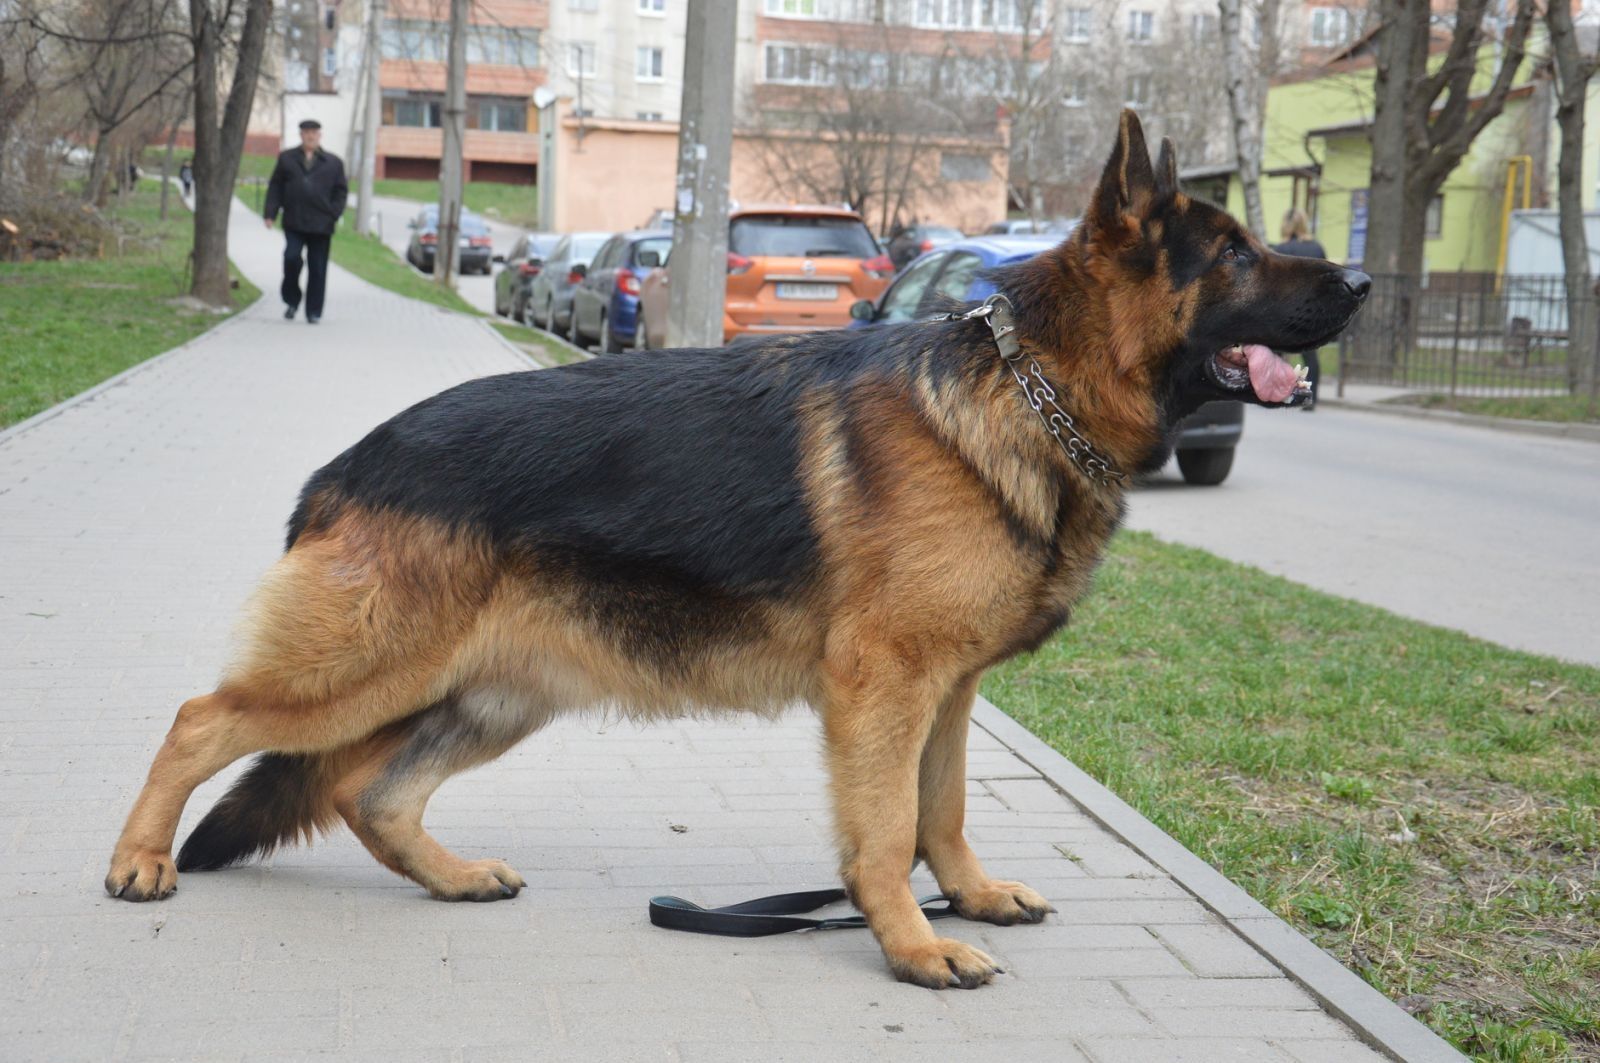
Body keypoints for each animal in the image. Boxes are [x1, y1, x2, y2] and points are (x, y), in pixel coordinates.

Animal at [109, 114, 1363, 986]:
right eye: (1235, 254)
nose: (1356, 278)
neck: (1030, 389)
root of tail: (340, 468)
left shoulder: (947, 692)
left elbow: (944, 813)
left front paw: (965, 899)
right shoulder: (883, 687)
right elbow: (886, 829)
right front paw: (911, 945)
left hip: (491, 694)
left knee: (370, 793)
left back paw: (452, 876)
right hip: (367, 668)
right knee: (199, 719)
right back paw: (138, 860)